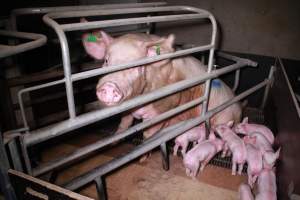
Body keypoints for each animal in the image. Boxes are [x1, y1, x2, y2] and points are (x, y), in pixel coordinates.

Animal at [95, 30, 243, 142]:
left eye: (136, 67)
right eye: (106, 61)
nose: (109, 85)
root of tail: (239, 109)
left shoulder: (166, 104)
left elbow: (149, 132)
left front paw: (143, 156)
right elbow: (124, 123)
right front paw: (115, 140)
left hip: (223, 117)